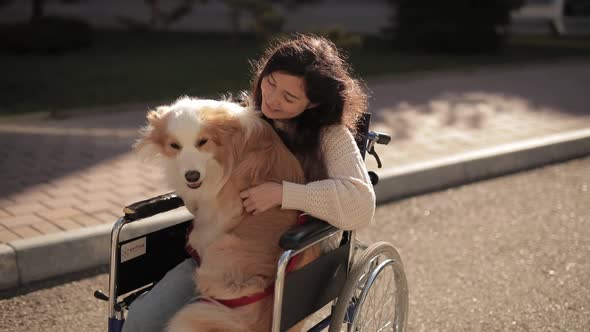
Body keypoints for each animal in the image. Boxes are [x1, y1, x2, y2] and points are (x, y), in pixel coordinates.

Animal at [135, 97, 320, 330]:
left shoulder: (222, 207)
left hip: (223, 248)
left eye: (202, 142)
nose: (192, 176)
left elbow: (204, 229)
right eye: (174, 145)